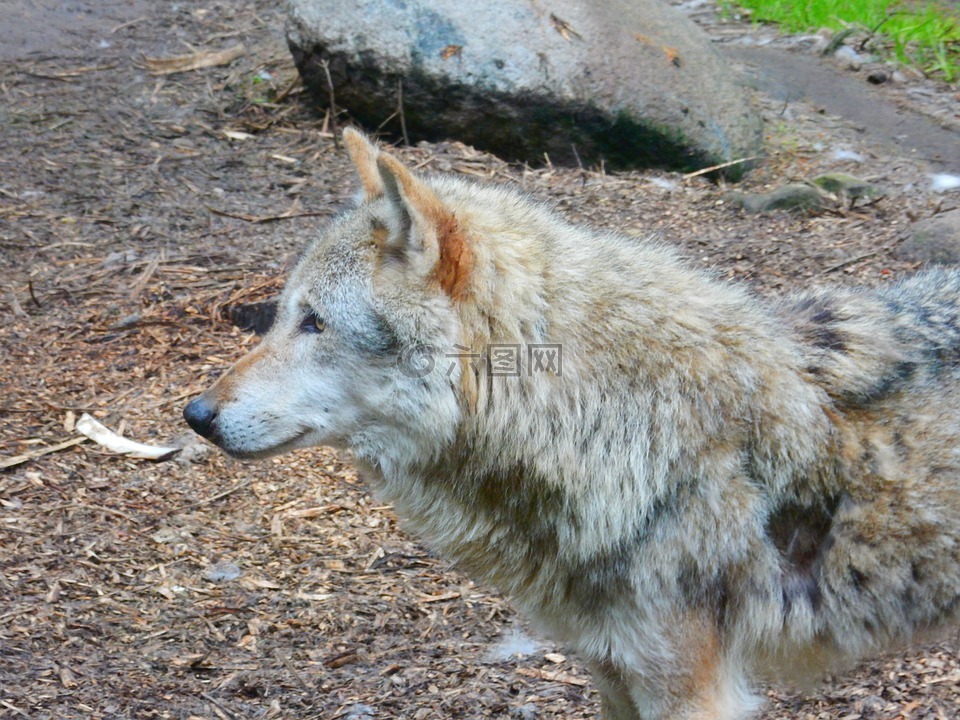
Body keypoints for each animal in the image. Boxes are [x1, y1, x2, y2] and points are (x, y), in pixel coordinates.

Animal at [184, 129, 960, 720]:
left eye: (314, 321)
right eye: (282, 314)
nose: (196, 415)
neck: (603, 419)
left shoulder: (691, 691)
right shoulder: (612, 673)